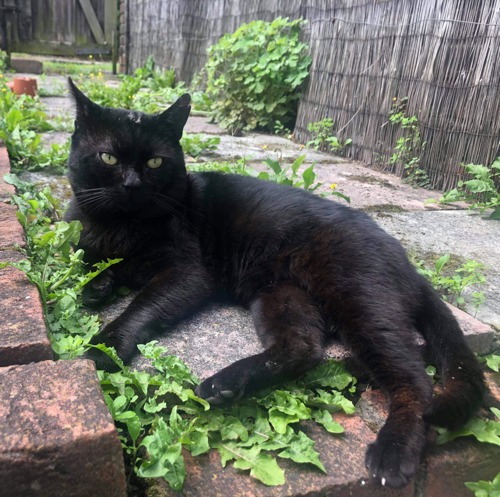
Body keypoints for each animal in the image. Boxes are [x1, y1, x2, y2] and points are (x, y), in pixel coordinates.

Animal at [65, 79, 484, 486]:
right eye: (108, 158)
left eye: (154, 161)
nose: (132, 185)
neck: (124, 227)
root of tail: (408, 263)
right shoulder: (87, 238)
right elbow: (88, 259)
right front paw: (97, 286)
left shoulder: (188, 272)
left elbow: (141, 306)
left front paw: (105, 346)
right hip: (281, 295)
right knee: (303, 347)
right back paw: (224, 385)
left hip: (359, 302)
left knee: (414, 382)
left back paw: (393, 453)